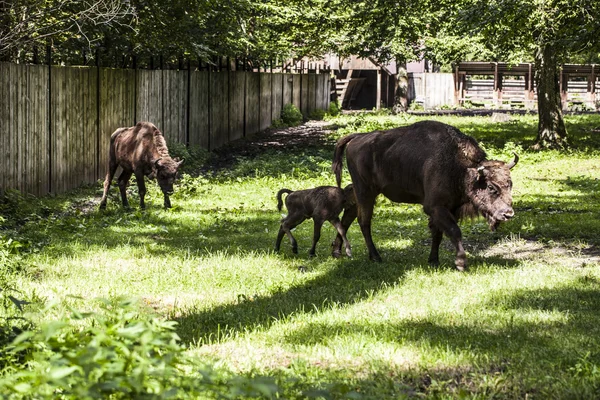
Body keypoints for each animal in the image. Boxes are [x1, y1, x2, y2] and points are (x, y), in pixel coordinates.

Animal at [330, 121, 516, 272]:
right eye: (491, 187)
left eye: (510, 184)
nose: (508, 214)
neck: (462, 168)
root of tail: (357, 137)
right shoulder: (436, 207)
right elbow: (454, 231)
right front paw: (461, 263)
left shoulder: (450, 208)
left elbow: (438, 234)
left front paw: (433, 260)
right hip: (366, 191)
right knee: (364, 221)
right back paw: (375, 257)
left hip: (361, 193)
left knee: (349, 215)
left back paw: (337, 251)